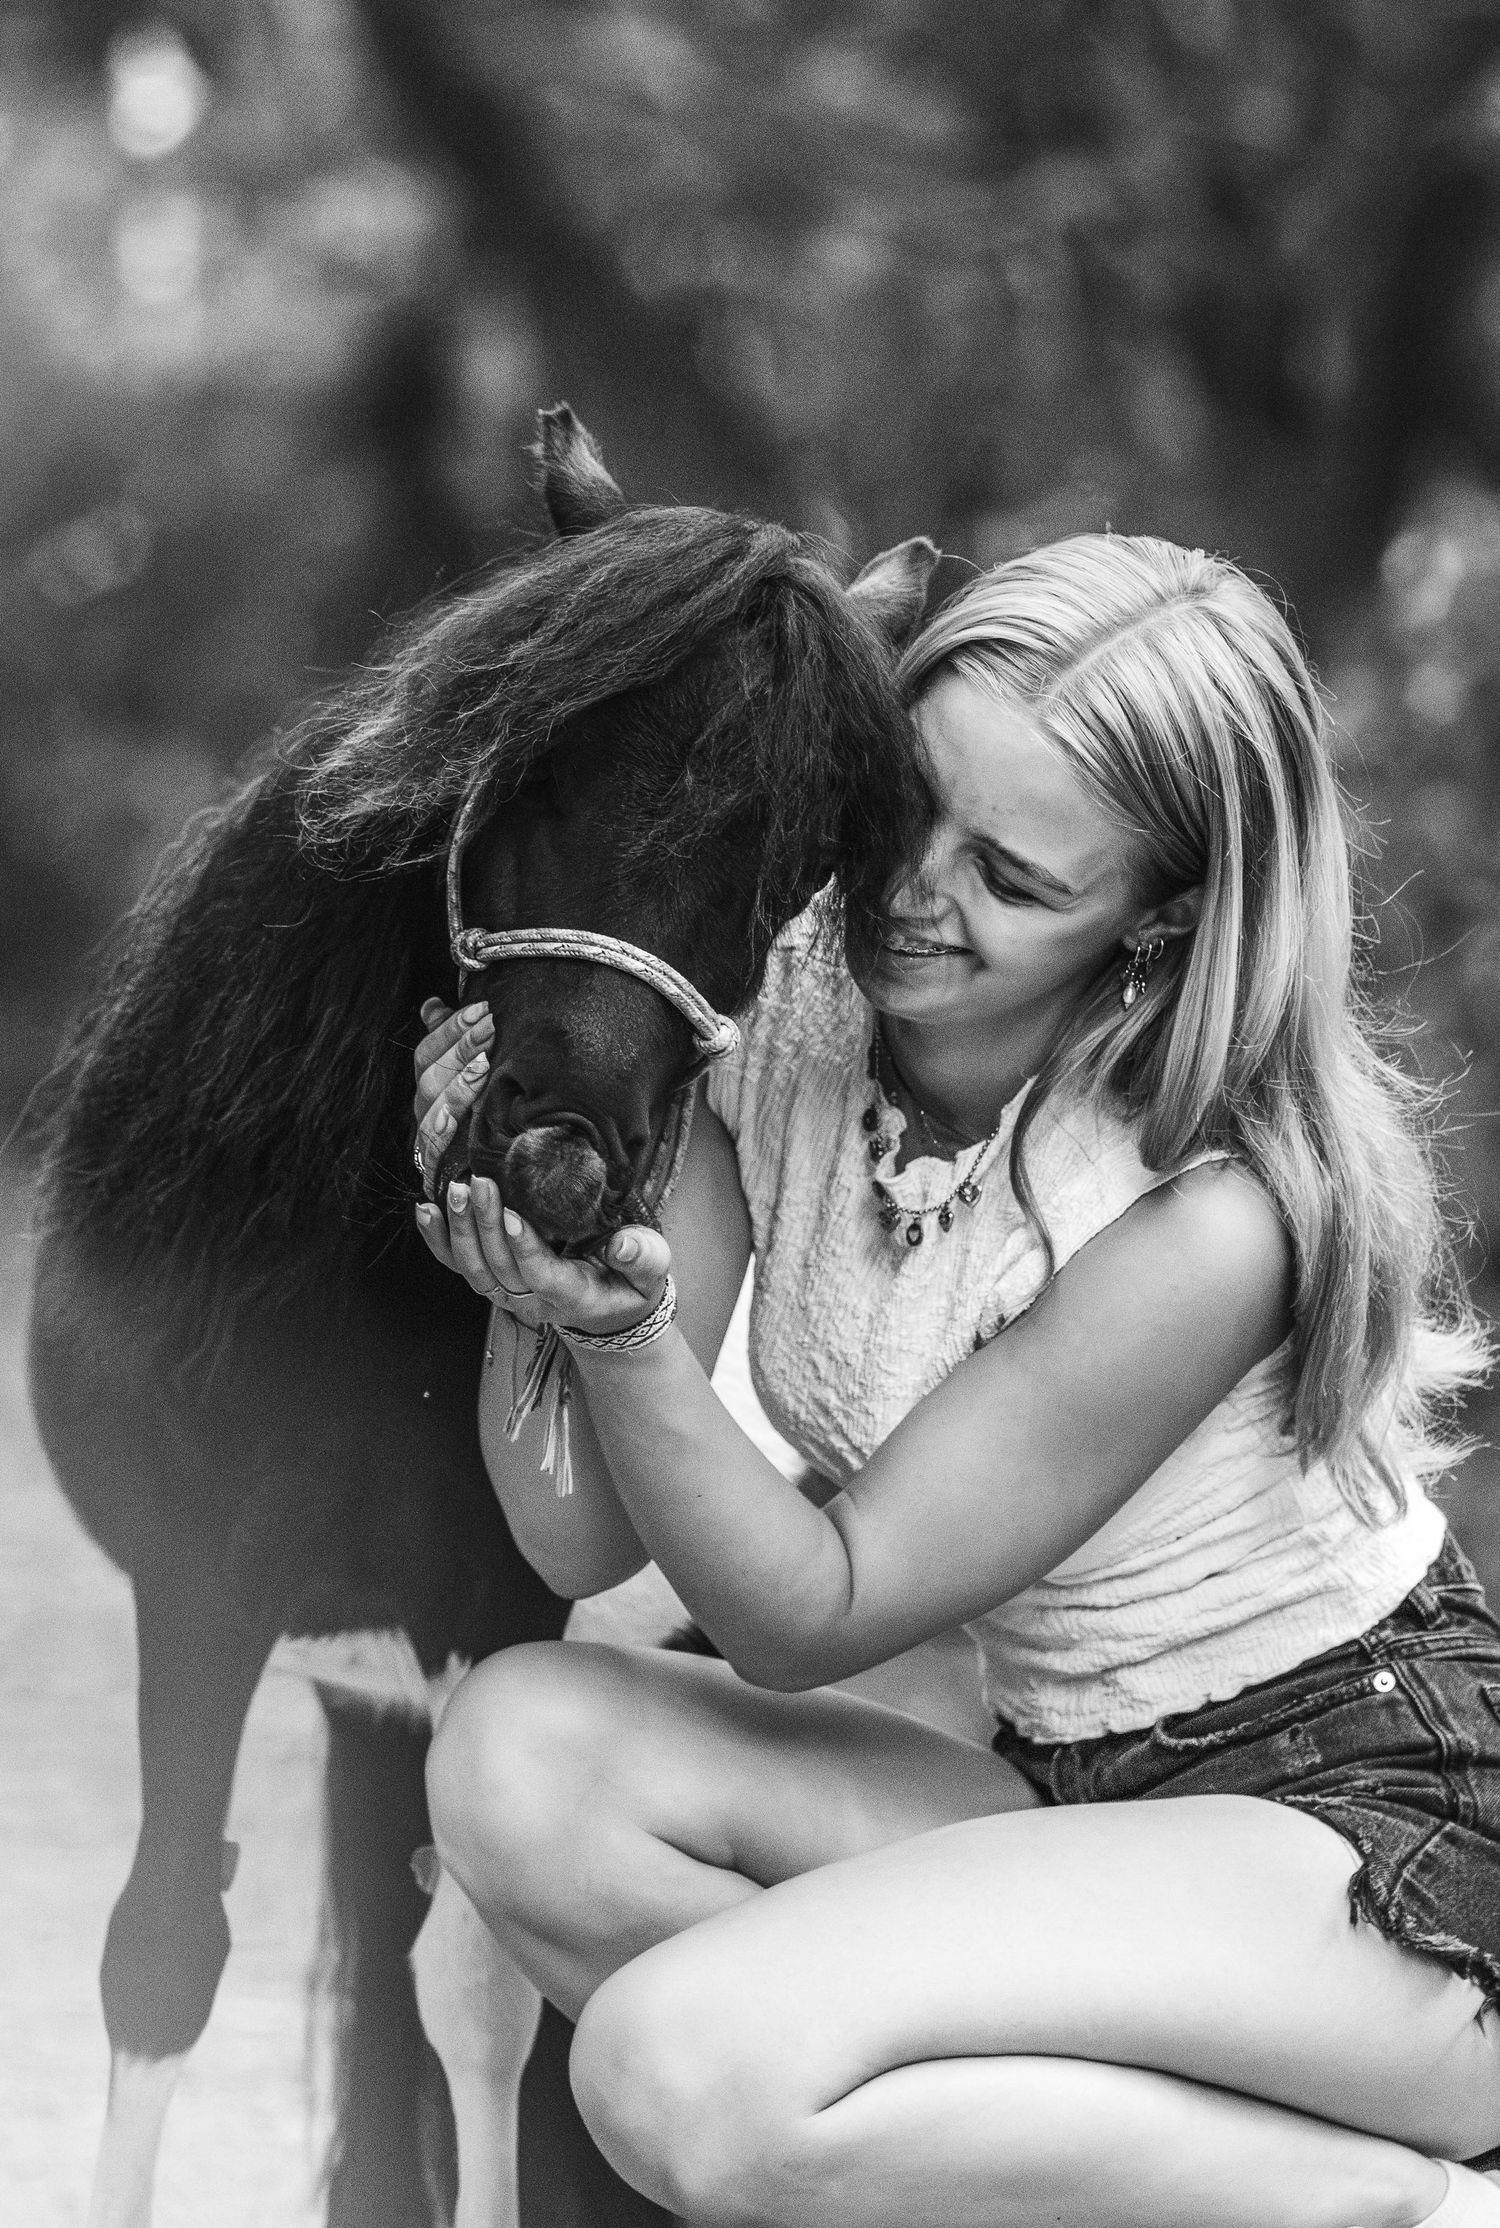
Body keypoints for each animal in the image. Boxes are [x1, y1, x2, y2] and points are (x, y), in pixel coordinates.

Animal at [26, 403, 937, 2228]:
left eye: (789, 868)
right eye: (537, 762)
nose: (559, 1154)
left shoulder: (492, 1606)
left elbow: (482, 2003)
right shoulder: (205, 1587)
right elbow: (162, 1952)